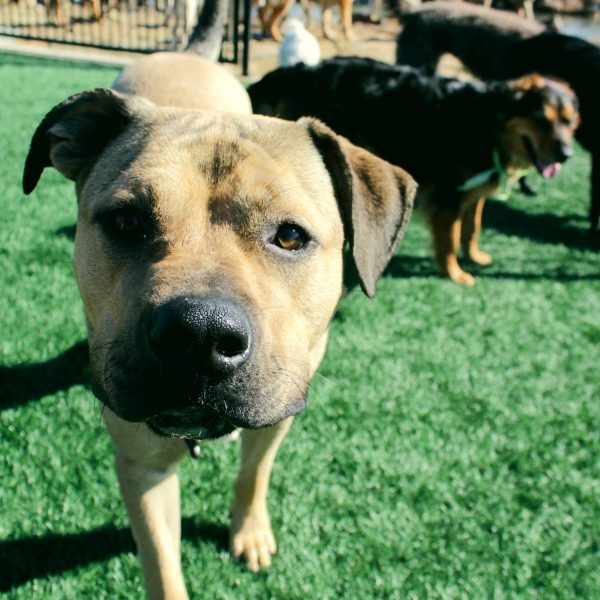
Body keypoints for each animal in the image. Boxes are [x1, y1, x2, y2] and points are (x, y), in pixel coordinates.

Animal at [24, 54, 418, 596]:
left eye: (290, 236)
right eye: (126, 222)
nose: (198, 334)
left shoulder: (277, 415)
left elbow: (255, 473)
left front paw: (249, 531)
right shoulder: (142, 465)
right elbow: (162, 566)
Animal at [251, 58, 580, 286]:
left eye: (568, 121)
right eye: (541, 120)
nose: (567, 155)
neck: (487, 120)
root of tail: (295, 71)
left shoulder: (475, 190)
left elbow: (472, 227)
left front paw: (475, 257)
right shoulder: (447, 195)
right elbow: (450, 239)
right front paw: (455, 273)